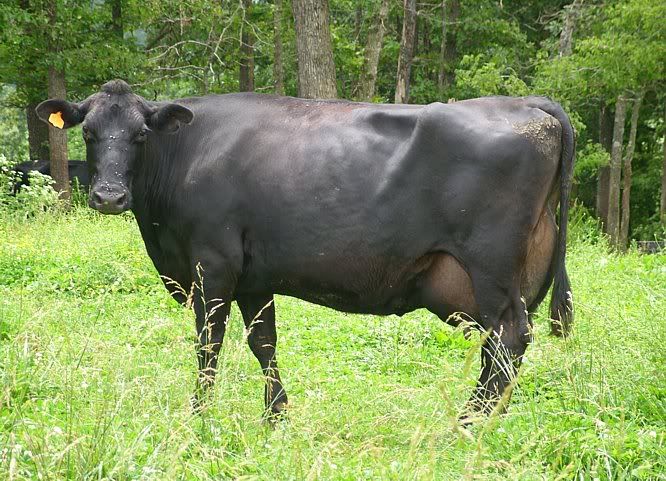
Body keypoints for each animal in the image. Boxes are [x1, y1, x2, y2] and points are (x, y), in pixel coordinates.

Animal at [37, 80, 574, 419]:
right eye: (88, 133)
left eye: (140, 135)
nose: (109, 196)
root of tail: (530, 103)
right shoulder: (254, 277)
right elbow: (263, 343)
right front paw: (276, 416)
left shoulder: (213, 265)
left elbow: (209, 344)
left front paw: (199, 416)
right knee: (503, 350)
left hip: (491, 269)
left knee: (506, 341)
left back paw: (469, 422)